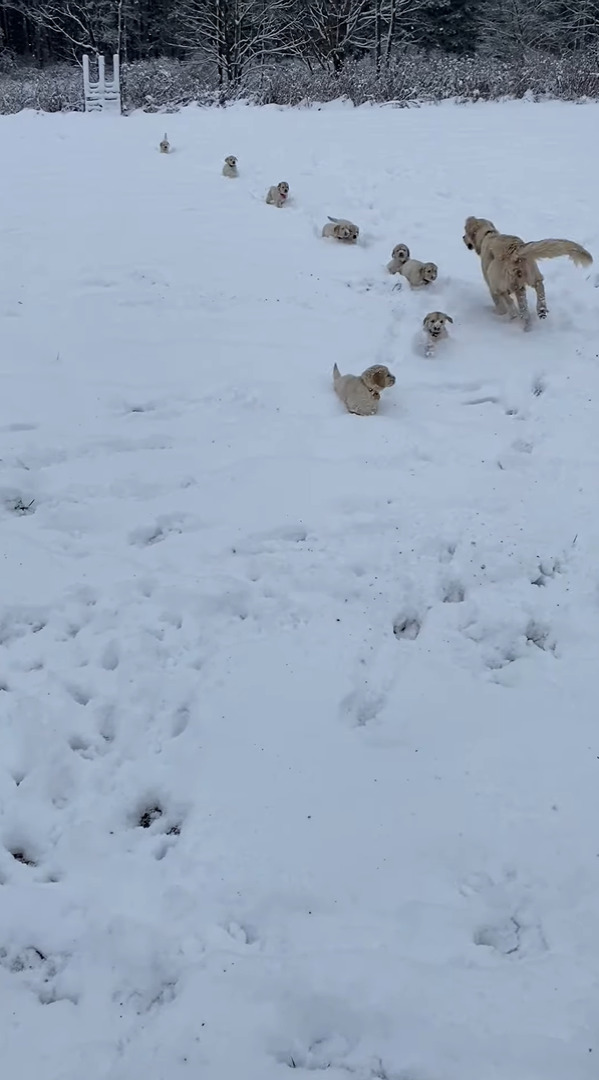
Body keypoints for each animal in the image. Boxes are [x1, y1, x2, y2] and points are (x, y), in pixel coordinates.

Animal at [461, 212, 591, 326]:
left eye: (466, 232)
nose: (462, 237)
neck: (487, 235)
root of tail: (515, 250)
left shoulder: (491, 285)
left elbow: (500, 304)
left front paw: (499, 313)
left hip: (497, 279)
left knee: (508, 299)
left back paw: (515, 314)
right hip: (530, 274)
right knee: (538, 287)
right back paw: (540, 310)